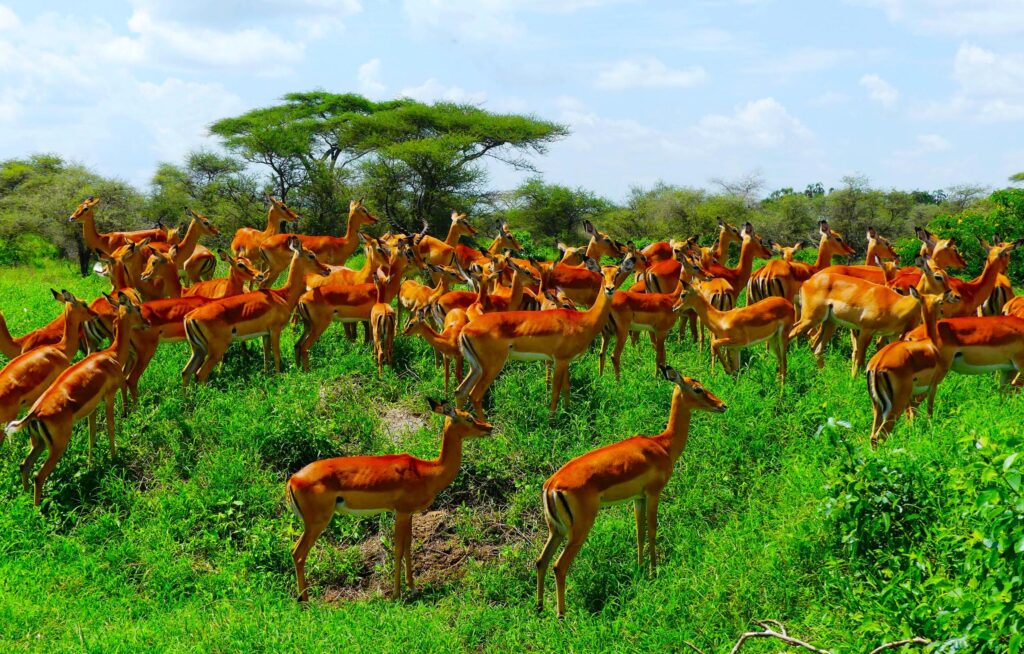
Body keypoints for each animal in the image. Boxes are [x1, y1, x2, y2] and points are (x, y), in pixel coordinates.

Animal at [182, 238, 330, 385]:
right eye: (311, 255)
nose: (327, 269)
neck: (283, 296)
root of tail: (190, 317)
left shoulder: (265, 334)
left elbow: (266, 356)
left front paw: (267, 376)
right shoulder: (275, 330)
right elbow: (276, 355)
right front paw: (279, 378)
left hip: (198, 350)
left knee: (186, 372)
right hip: (216, 350)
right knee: (200, 374)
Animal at [286, 398, 492, 601]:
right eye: (469, 418)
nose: (489, 427)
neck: (428, 471)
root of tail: (293, 479)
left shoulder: (409, 514)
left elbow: (408, 546)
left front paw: (412, 588)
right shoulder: (401, 512)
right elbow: (398, 549)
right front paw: (396, 594)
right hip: (317, 522)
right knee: (298, 553)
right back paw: (305, 601)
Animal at [456, 258, 634, 417]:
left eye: (617, 273)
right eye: (602, 273)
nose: (610, 289)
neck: (584, 320)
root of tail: (465, 330)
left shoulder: (566, 361)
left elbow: (566, 388)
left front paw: (568, 412)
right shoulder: (560, 360)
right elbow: (555, 391)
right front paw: (552, 422)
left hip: (476, 367)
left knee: (460, 391)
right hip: (492, 367)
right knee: (475, 395)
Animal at [536, 366, 725, 618]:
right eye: (698, 388)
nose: (722, 405)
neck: (663, 445)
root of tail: (552, 485)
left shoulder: (638, 498)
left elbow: (639, 532)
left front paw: (640, 568)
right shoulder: (654, 493)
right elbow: (653, 530)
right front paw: (654, 572)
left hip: (556, 530)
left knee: (541, 561)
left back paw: (539, 607)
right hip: (579, 530)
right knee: (559, 566)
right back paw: (561, 615)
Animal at [866, 288, 962, 446]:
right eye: (941, 302)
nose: (943, 314)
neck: (930, 344)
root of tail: (877, 364)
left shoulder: (911, 396)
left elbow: (910, 416)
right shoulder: (933, 386)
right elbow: (929, 411)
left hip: (877, 405)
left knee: (873, 435)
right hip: (895, 403)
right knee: (881, 434)